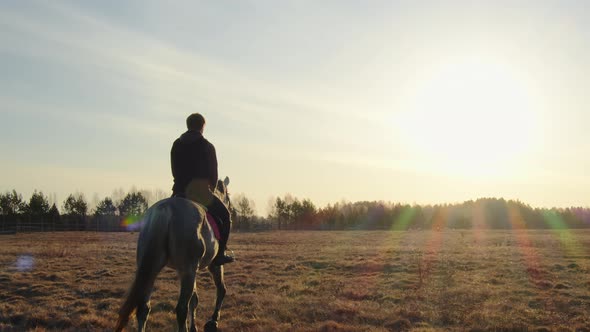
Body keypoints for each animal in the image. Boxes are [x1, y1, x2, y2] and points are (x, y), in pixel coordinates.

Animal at [115, 176, 234, 332]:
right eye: (228, 196)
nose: (231, 209)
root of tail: (166, 210)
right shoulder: (212, 265)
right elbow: (220, 290)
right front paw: (213, 321)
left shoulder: (184, 270)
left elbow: (194, 299)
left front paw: (194, 327)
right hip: (189, 270)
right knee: (181, 309)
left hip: (152, 269)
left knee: (143, 308)